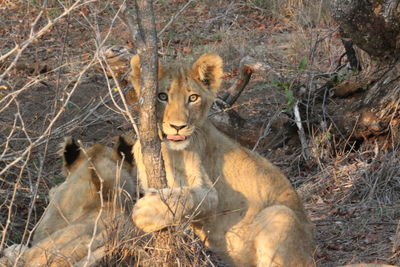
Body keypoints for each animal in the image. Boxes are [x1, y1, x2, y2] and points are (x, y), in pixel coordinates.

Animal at [130, 53, 316, 266]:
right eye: (162, 96)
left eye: (193, 98)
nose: (178, 127)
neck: (168, 149)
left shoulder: (210, 193)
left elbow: (187, 197)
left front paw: (146, 211)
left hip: (280, 214)